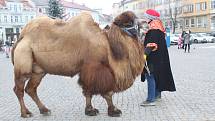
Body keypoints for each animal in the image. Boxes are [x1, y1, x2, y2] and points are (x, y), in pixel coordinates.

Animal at [11, 11, 145, 117]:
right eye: (127, 24)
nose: (143, 22)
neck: (108, 45)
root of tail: (21, 38)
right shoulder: (96, 68)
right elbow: (105, 92)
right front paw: (112, 110)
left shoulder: (90, 71)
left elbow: (89, 92)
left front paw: (91, 110)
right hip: (23, 67)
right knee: (19, 89)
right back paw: (25, 113)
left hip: (39, 71)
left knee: (30, 89)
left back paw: (44, 110)